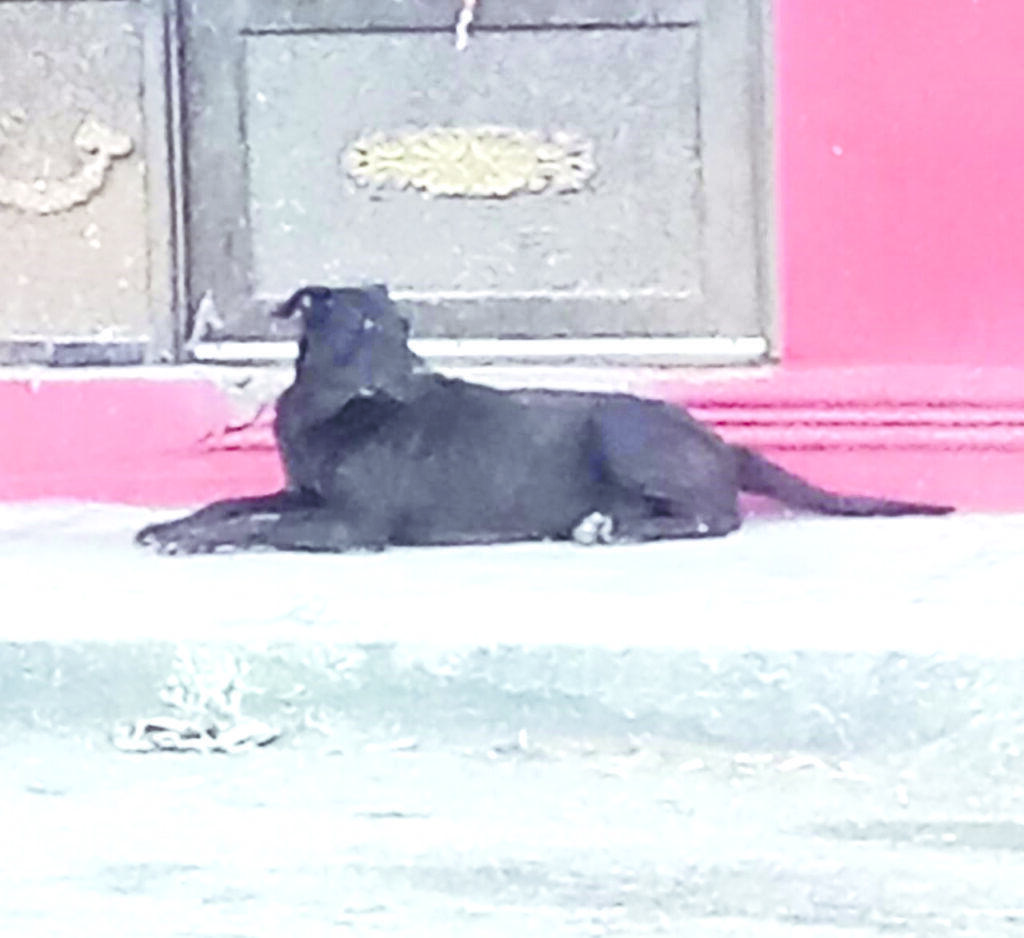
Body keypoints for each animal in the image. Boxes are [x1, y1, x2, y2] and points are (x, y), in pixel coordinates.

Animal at [136, 285, 952, 553]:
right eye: (367, 327)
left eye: (404, 325)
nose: (423, 375)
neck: (328, 410)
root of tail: (718, 438)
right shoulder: (304, 491)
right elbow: (233, 501)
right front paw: (176, 525)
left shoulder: (351, 524)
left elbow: (263, 524)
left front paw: (199, 542)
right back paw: (602, 523)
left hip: (625, 434)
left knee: (716, 516)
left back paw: (617, 530)